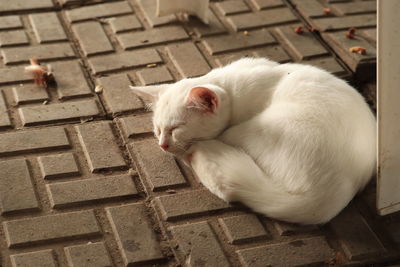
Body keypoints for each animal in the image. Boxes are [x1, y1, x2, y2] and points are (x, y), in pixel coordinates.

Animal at [130, 57, 376, 225]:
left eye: (176, 129)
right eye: (157, 129)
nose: (162, 145)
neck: (230, 86)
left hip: (253, 129)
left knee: (226, 186)